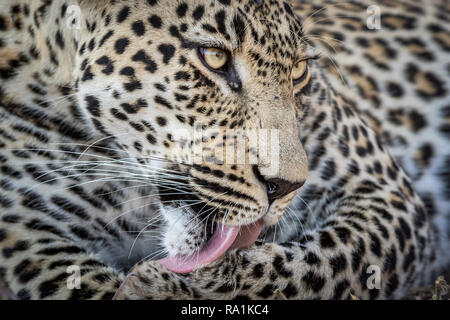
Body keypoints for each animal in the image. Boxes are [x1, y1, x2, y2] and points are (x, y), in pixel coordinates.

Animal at [0, 0, 448, 300]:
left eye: (300, 71)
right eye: (213, 57)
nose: (285, 187)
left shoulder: (380, 189)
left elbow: (319, 262)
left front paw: (168, 287)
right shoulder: (29, 234)